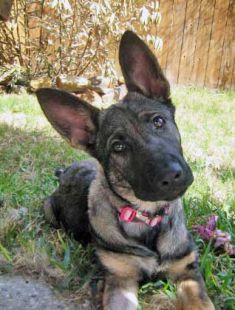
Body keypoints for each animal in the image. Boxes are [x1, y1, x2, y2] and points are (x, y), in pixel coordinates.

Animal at [35, 30, 214, 308]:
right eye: (118, 147)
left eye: (158, 121)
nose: (171, 177)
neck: (148, 218)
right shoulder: (120, 279)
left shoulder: (187, 271)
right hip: (49, 210)